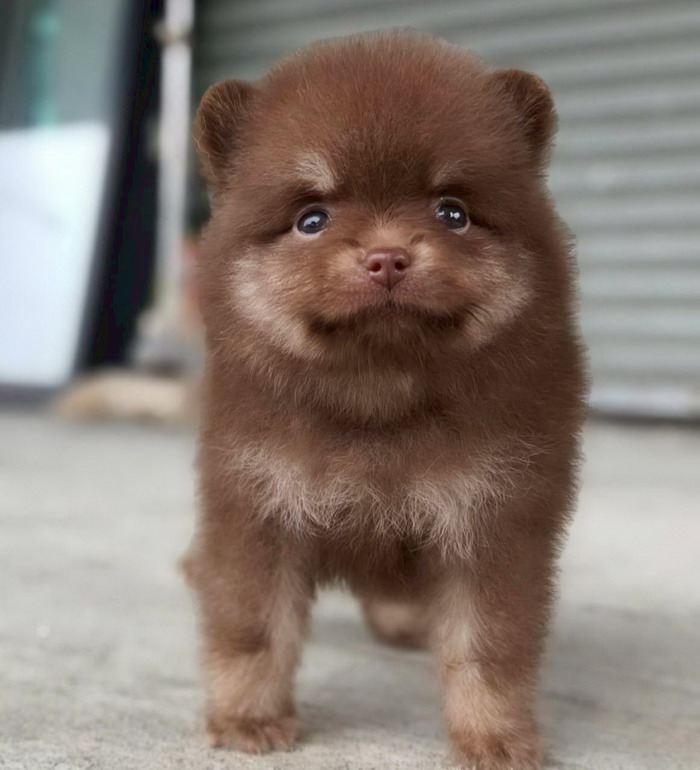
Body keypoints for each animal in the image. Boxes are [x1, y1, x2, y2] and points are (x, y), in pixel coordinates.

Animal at [185, 29, 587, 769]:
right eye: (311, 218)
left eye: (452, 212)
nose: (387, 257)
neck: (381, 400)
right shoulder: (259, 503)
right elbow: (255, 629)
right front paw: (249, 717)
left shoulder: (494, 517)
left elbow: (489, 649)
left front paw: (494, 736)